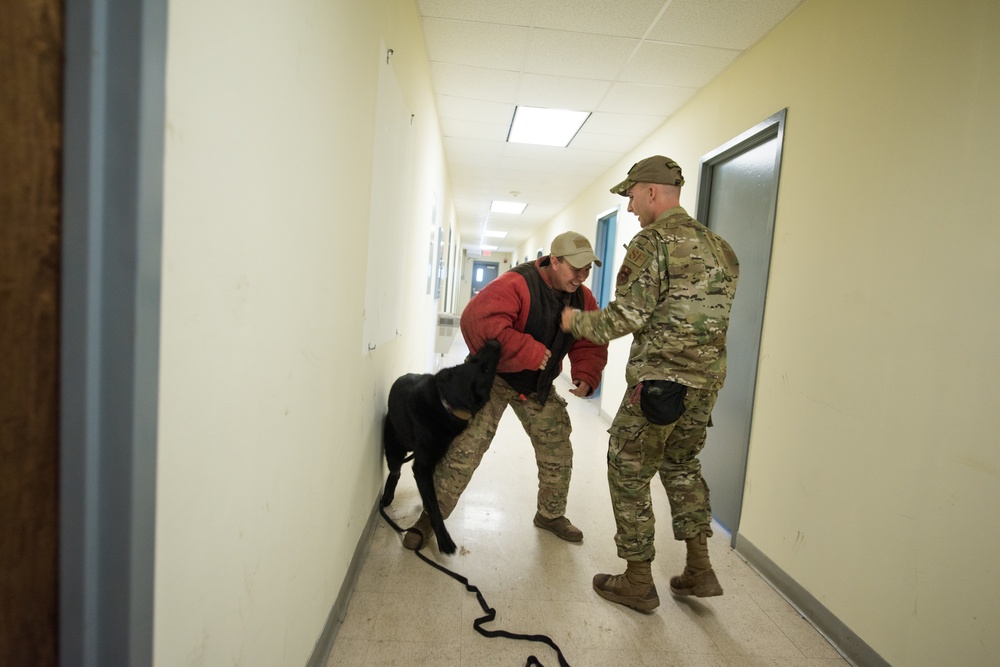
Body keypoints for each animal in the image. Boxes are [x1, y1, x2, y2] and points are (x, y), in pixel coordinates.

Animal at [384, 340, 504, 552]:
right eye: (485, 369)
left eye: (476, 360)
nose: (494, 342)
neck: (446, 404)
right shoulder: (422, 467)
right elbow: (434, 504)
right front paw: (442, 537)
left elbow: (433, 496)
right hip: (395, 450)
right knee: (395, 472)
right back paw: (388, 494)